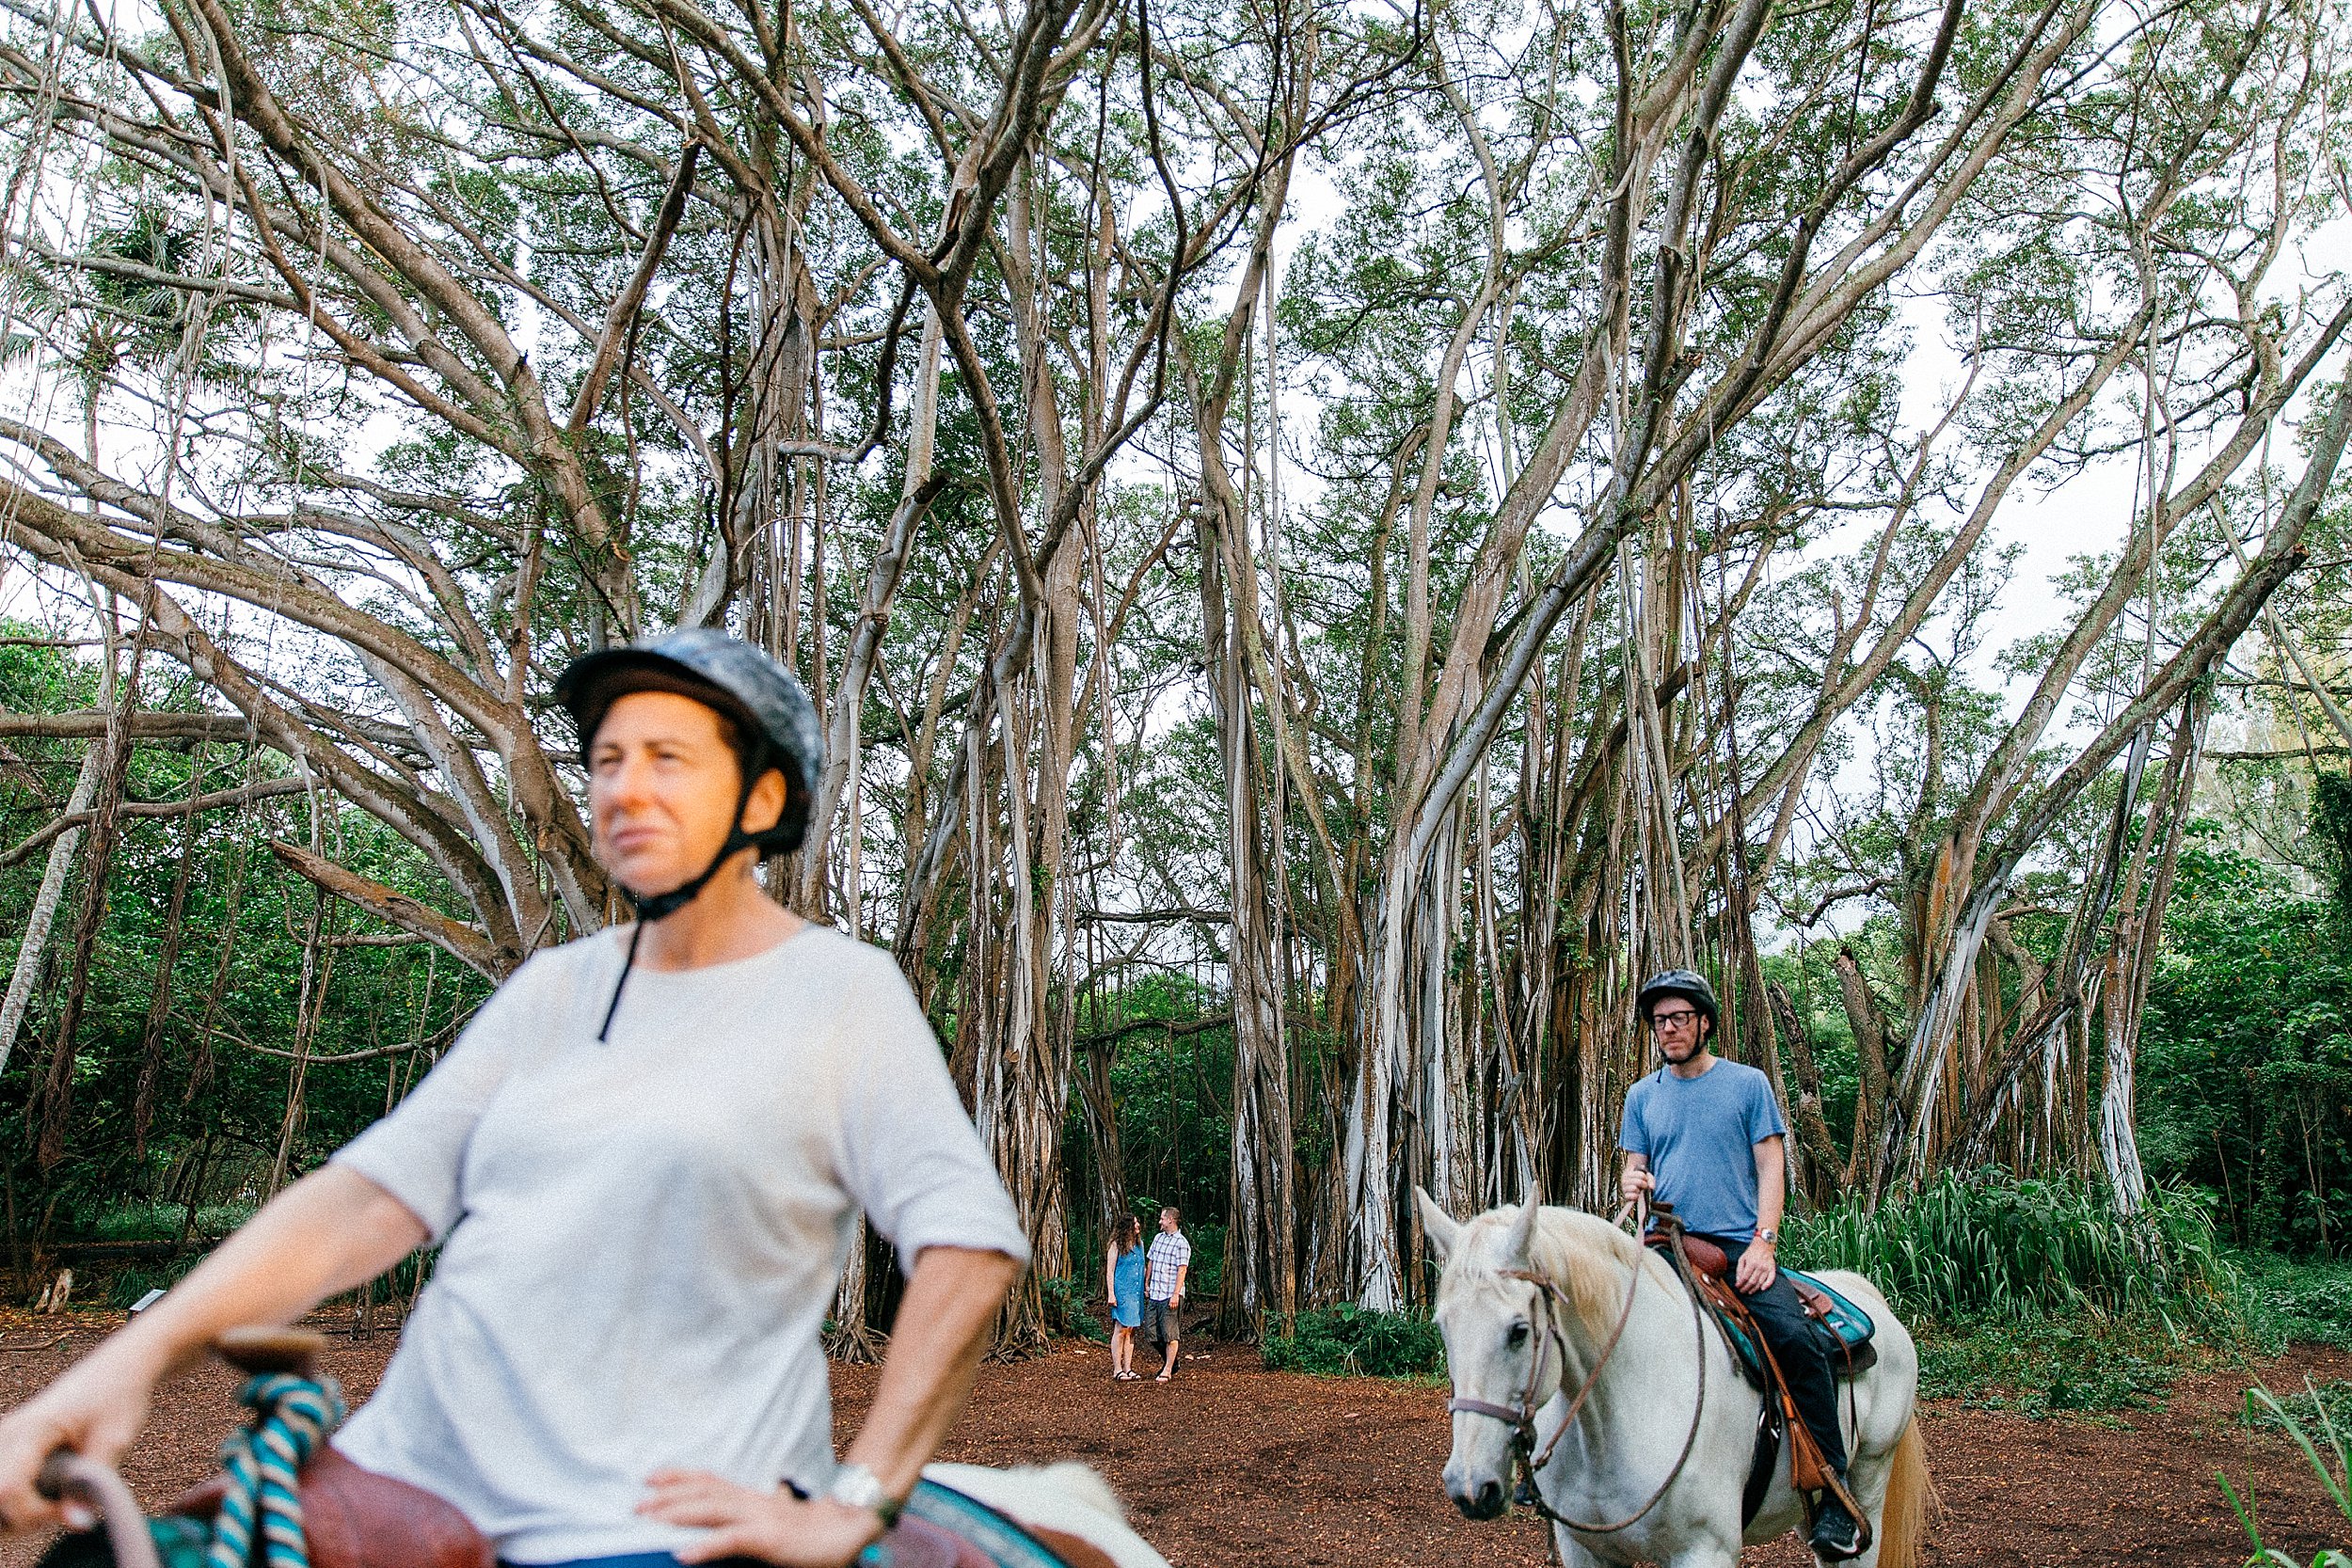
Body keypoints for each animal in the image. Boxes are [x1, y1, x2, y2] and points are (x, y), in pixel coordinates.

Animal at [1411, 1189, 1929, 1568]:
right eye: (1443, 1327)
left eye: (1519, 1331)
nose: (1469, 1486)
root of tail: (1871, 1298)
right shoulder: (1586, 1552)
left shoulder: (1705, 1551)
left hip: (1869, 1480)